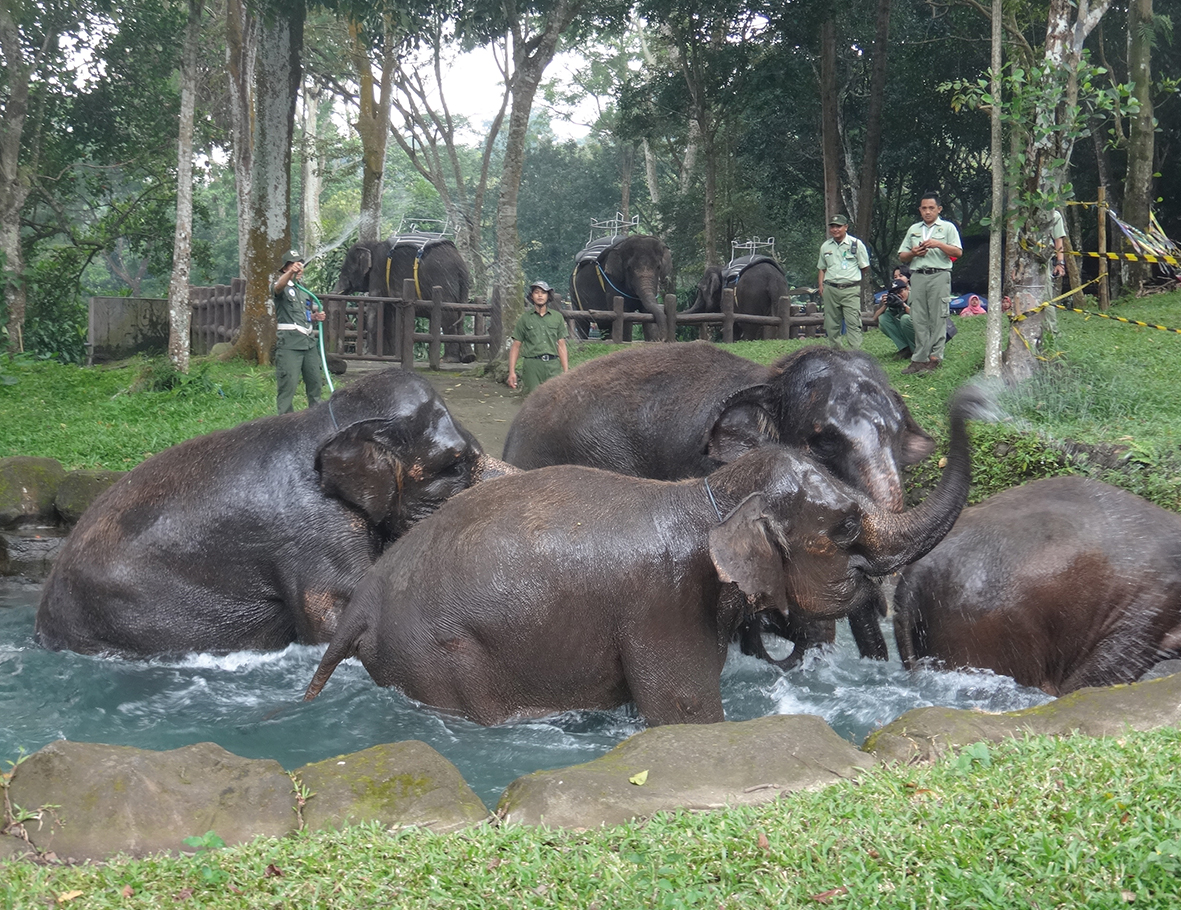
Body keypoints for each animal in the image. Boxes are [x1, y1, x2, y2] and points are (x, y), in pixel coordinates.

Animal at [302, 387, 977, 731]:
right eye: (845, 527)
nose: (967, 400)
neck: (711, 496)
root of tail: (361, 606)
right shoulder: (666, 605)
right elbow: (686, 716)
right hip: (439, 656)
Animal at [330, 234, 472, 363]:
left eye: (345, 270)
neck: (373, 245)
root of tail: (462, 267)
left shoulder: (378, 273)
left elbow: (375, 306)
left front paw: (369, 355)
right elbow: (388, 311)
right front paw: (388, 355)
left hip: (442, 280)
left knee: (448, 315)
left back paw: (448, 360)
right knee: (459, 316)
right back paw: (468, 358)